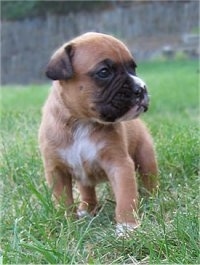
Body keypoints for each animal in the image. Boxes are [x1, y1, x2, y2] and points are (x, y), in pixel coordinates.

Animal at [38, 31, 158, 235]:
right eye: (104, 72)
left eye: (133, 68)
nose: (141, 88)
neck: (81, 122)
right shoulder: (57, 170)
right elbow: (62, 201)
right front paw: (67, 225)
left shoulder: (119, 165)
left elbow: (126, 198)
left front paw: (127, 227)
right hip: (82, 176)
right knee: (87, 190)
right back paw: (87, 210)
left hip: (146, 157)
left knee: (150, 179)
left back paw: (154, 199)